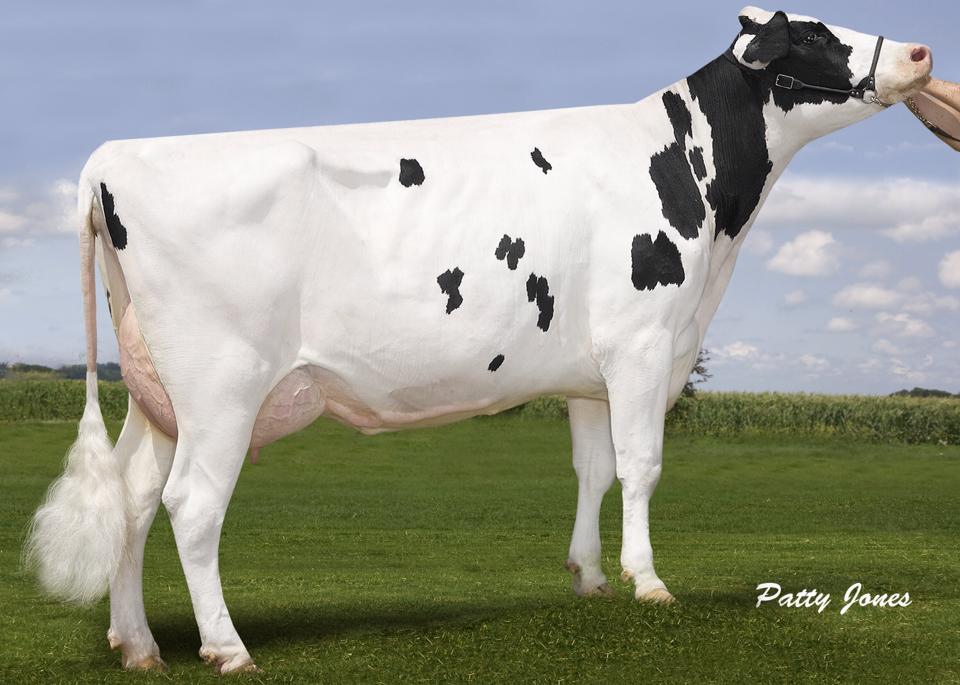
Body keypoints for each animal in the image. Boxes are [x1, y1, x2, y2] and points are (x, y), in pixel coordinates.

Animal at [26, 6, 933, 674]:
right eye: (815, 32)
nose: (922, 51)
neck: (695, 182)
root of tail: (111, 158)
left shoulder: (591, 370)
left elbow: (594, 469)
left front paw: (590, 576)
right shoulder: (644, 343)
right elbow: (642, 467)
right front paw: (648, 582)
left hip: (159, 393)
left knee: (133, 499)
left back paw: (138, 644)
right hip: (221, 387)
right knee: (191, 504)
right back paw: (227, 647)